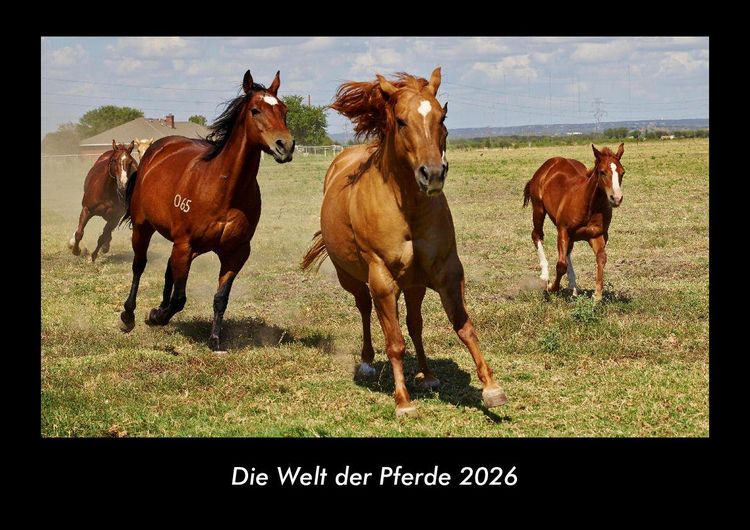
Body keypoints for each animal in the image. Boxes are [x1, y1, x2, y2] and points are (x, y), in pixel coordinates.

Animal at [118, 70, 294, 353]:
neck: (224, 190)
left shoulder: (235, 253)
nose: (285, 146)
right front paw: (156, 316)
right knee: (139, 266)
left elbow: (220, 298)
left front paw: (214, 340)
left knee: (168, 270)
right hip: (144, 228)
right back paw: (129, 316)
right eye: (255, 110)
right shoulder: (185, 244)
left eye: (284, 110)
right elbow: (179, 298)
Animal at [301, 68, 507, 417]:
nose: (433, 174)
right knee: (365, 310)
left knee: (415, 324)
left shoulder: (447, 271)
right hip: (353, 279)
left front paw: (491, 388)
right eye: (400, 120)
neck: (407, 208)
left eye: (442, 116)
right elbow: (394, 342)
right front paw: (403, 401)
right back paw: (368, 363)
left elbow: (463, 326)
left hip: (414, 284)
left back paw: (427, 374)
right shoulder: (383, 279)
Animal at [523, 143, 625, 301]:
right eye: (602, 172)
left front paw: (597, 295)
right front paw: (551, 287)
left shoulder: (597, 235)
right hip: (538, 209)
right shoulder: (563, 230)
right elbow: (561, 265)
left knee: (568, 250)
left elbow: (601, 258)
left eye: (622, 172)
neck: (589, 205)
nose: (616, 198)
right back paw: (545, 275)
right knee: (537, 235)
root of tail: (550, 164)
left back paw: (573, 286)